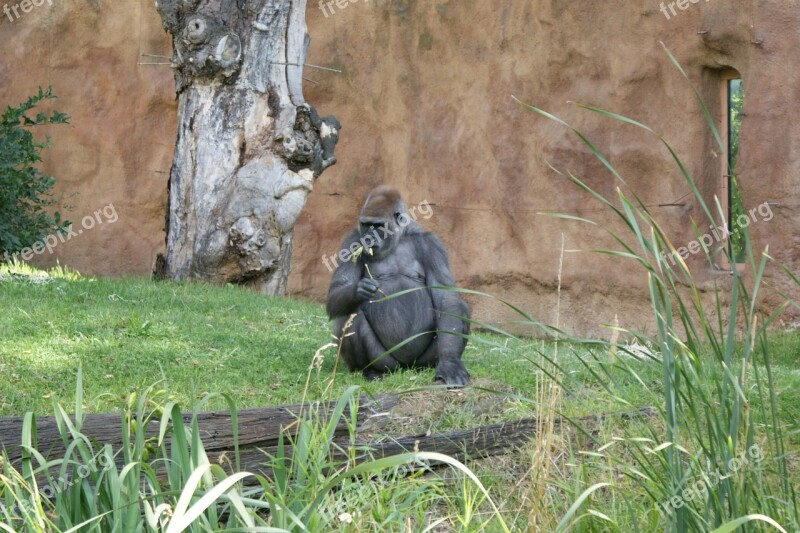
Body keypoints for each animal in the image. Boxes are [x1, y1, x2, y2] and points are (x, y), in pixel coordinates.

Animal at [326, 185, 472, 384]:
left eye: (378, 226)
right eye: (365, 224)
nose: (368, 237)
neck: (396, 239)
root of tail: (405, 368)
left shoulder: (431, 244)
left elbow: (446, 299)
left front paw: (450, 362)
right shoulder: (352, 240)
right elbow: (336, 292)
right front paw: (359, 290)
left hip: (420, 363)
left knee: (460, 309)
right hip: (387, 363)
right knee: (349, 314)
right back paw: (370, 370)